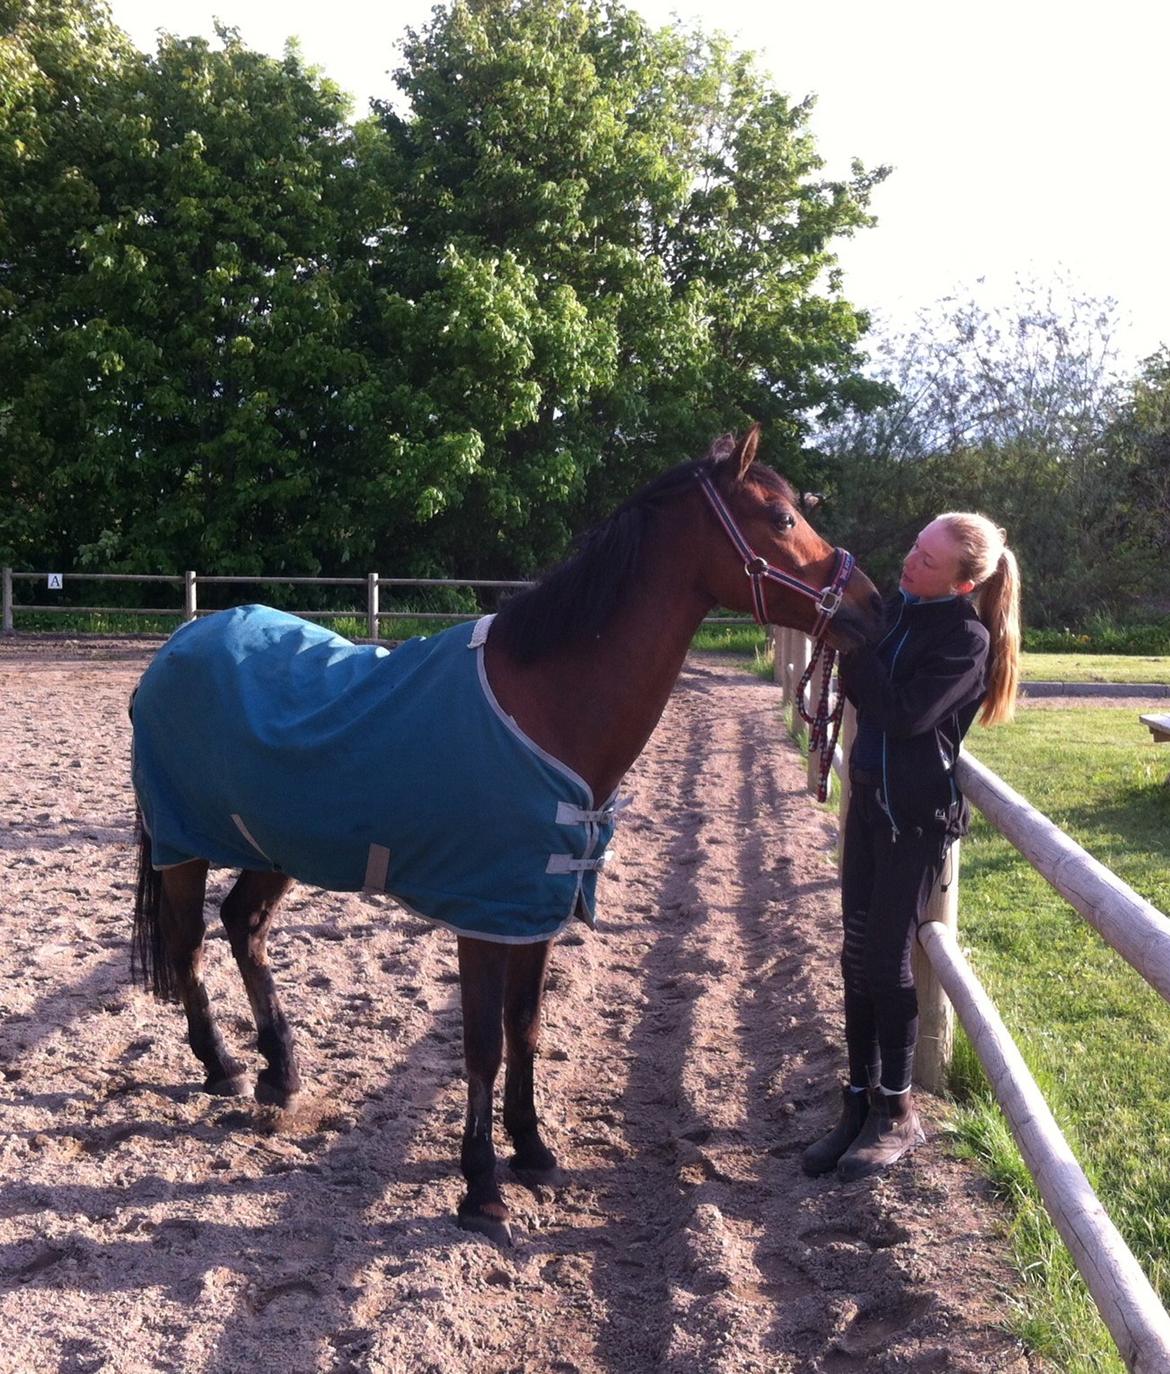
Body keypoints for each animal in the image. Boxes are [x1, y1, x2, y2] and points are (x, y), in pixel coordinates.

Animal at [129, 424, 884, 1245]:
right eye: (781, 518)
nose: (874, 607)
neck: (547, 706)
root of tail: (180, 643)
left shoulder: (534, 910)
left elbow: (525, 1028)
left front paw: (532, 1150)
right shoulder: (484, 915)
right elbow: (484, 1048)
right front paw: (481, 1189)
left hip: (278, 845)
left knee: (245, 926)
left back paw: (281, 1073)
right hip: (183, 845)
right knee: (189, 944)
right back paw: (223, 1067)